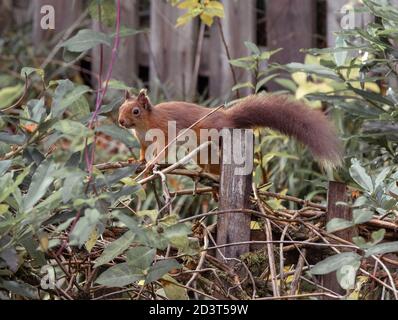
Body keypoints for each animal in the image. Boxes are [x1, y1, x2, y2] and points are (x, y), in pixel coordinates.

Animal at [117, 89, 342, 174]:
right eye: (120, 107)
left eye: (136, 111)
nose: (120, 122)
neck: (143, 126)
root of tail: (226, 117)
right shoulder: (143, 141)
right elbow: (143, 151)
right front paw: (138, 160)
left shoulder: (164, 130)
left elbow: (163, 149)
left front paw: (153, 163)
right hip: (202, 153)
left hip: (213, 135)